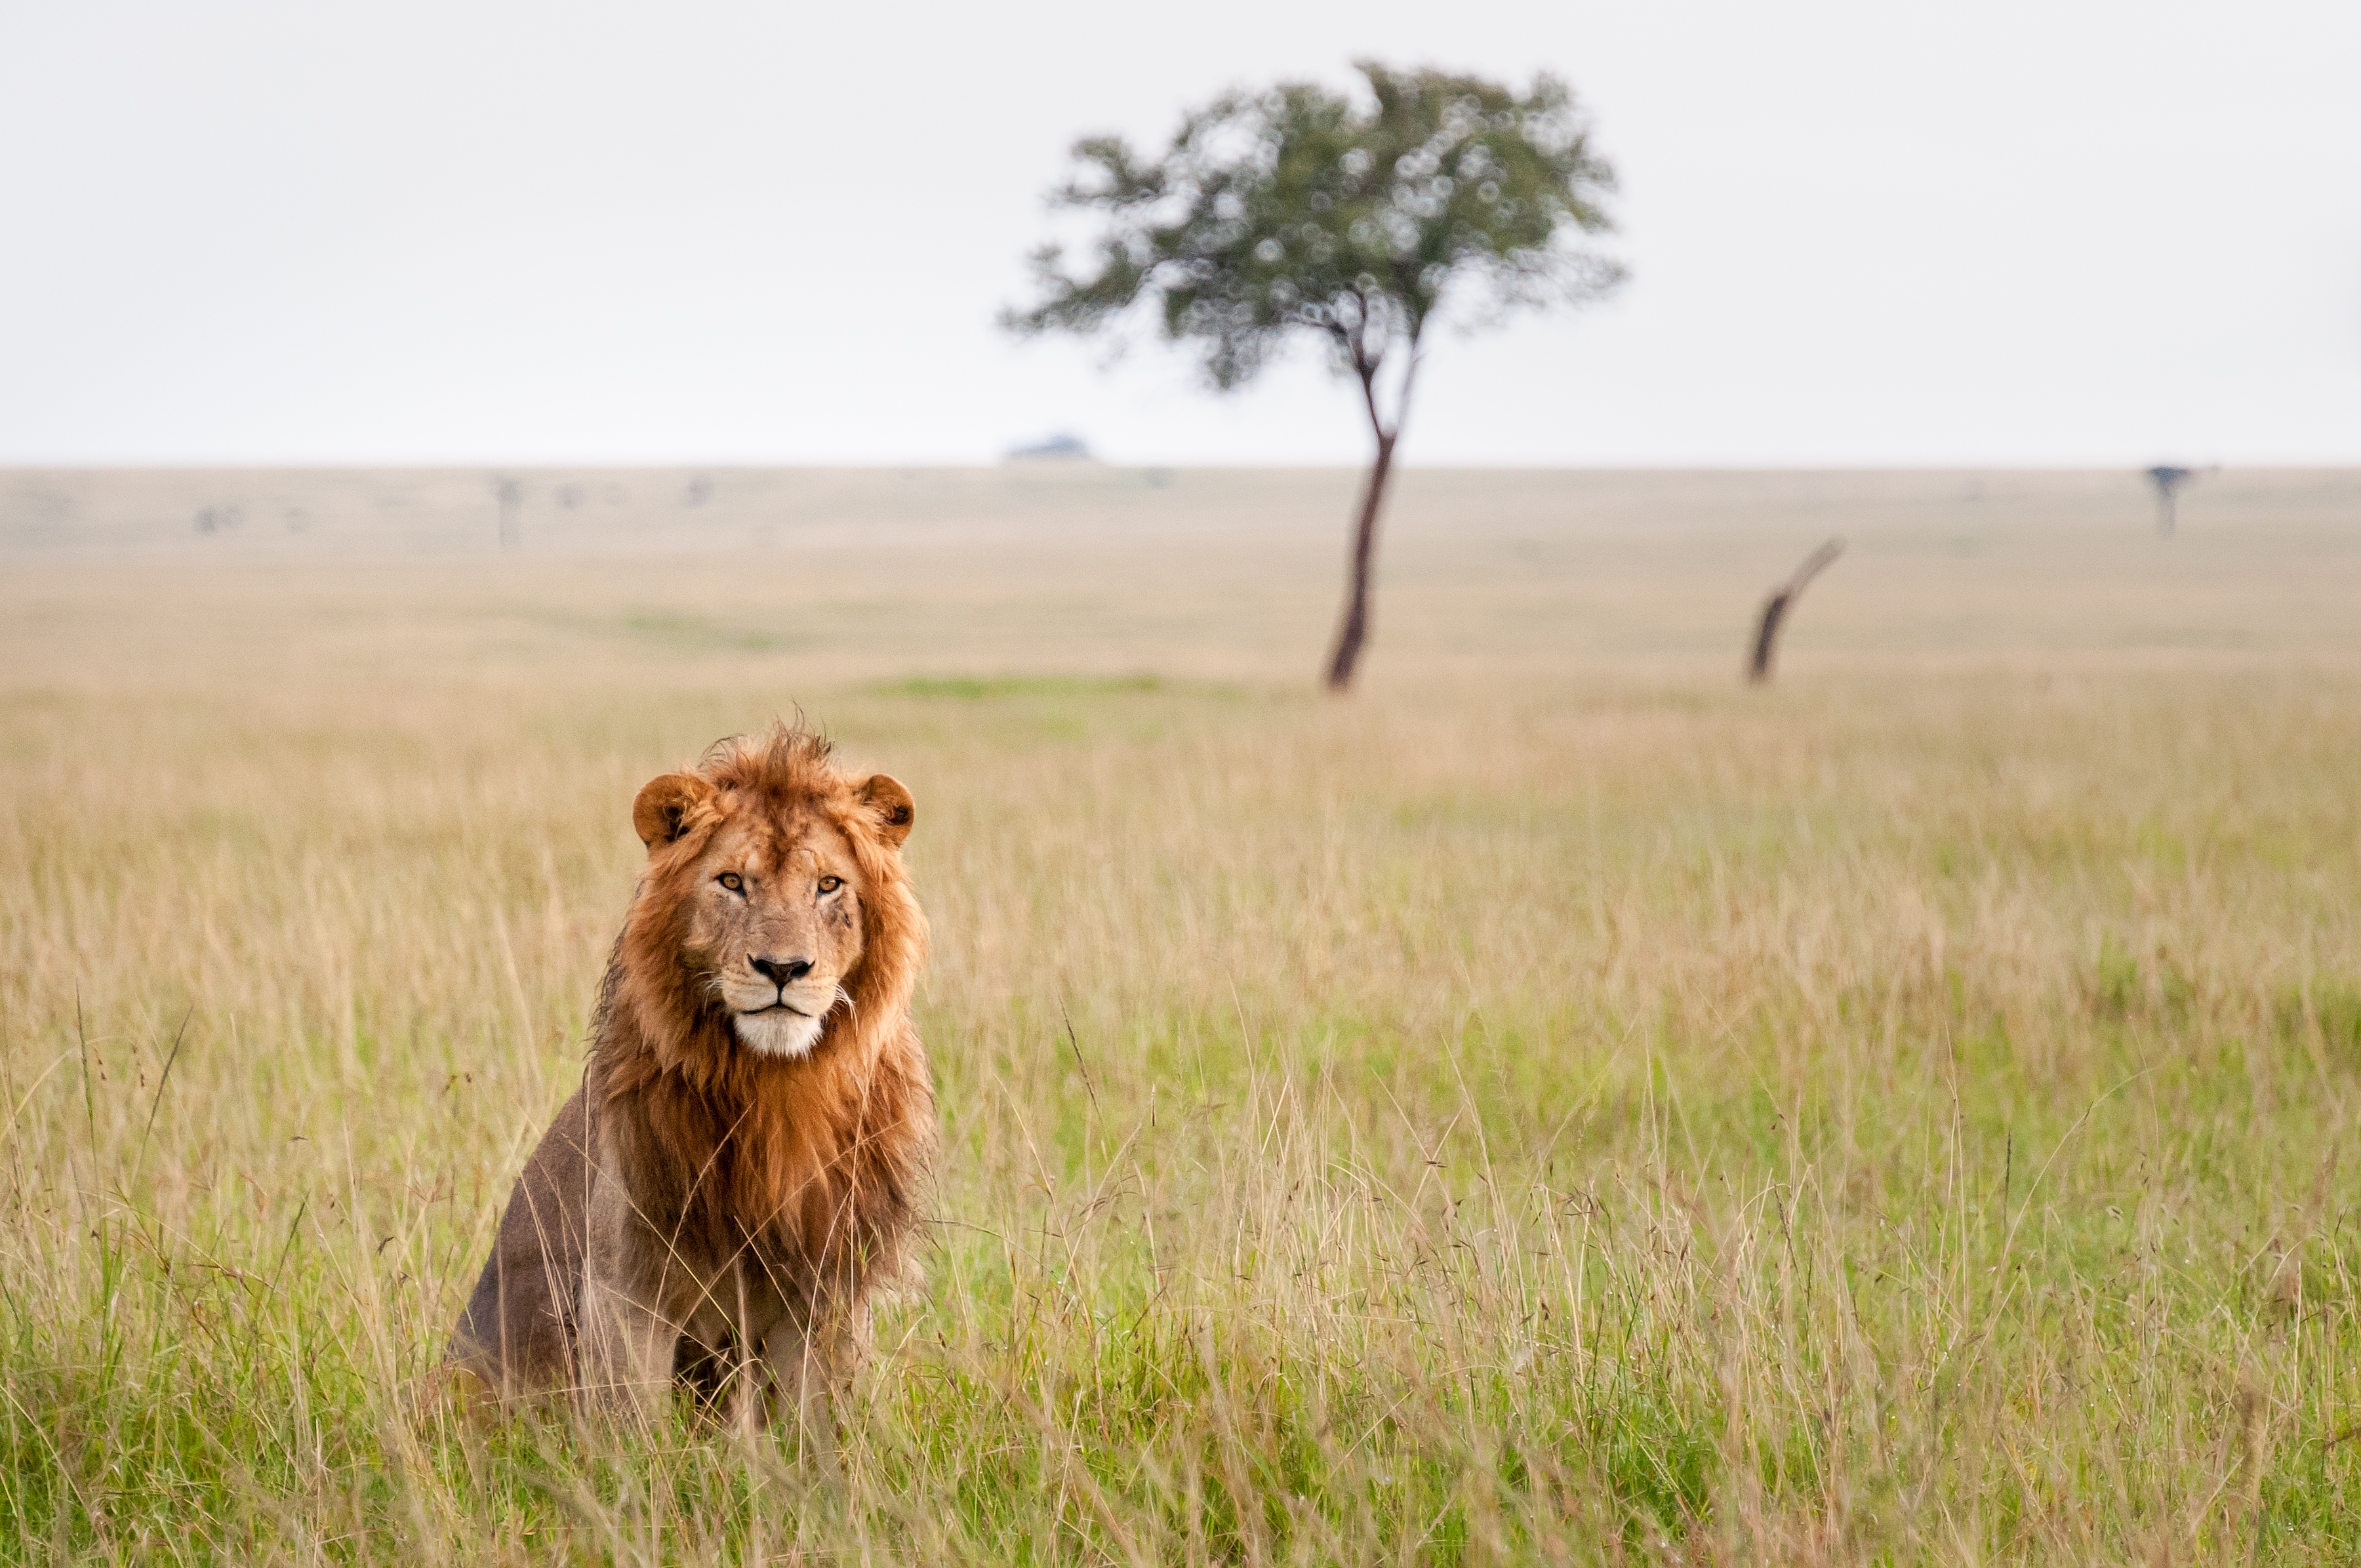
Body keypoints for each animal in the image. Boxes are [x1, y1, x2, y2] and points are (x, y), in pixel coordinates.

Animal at [443, 722, 930, 1436]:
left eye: (828, 884)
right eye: (731, 881)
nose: (783, 968)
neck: (777, 1089)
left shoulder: (829, 1284)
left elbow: (817, 1426)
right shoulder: (627, 1285)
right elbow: (632, 1426)